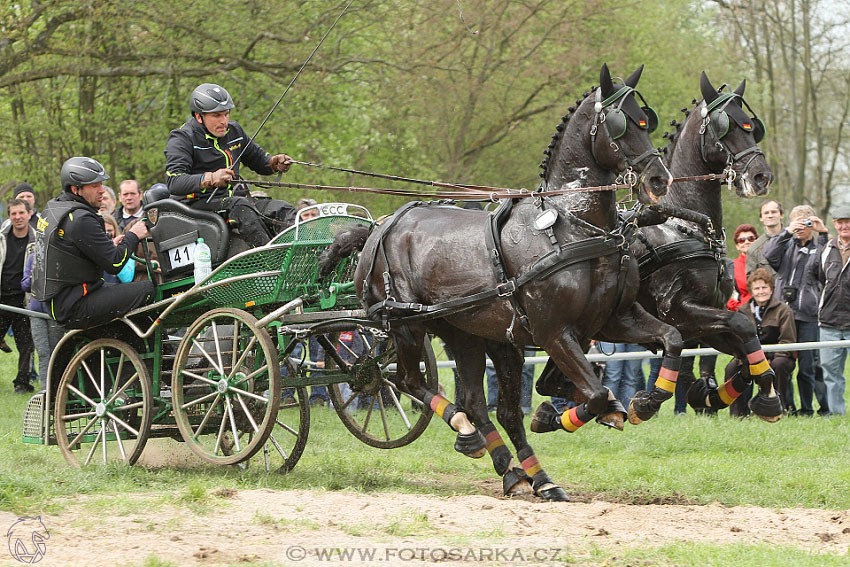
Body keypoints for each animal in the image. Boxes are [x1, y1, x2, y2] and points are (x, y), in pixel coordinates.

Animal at [318, 66, 684, 502]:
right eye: (620, 123)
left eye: (647, 119)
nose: (659, 178)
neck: (572, 225)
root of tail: (376, 228)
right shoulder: (554, 332)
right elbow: (592, 393)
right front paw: (558, 415)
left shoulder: (614, 319)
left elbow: (672, 339)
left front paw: (645, 401)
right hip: (408, 325)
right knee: (410, 381)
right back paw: (469, 436)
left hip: (469, 333)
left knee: (485, 404)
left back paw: (525, 474)